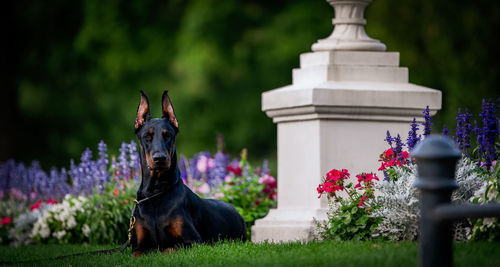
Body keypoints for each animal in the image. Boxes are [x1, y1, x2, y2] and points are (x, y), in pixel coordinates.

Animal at [130, 90, 245, 258]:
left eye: (168, 135)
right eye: (147, 136)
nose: (160, 158)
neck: (156, 192)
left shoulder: (193, 242)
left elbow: (167, 249)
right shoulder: (138, 246)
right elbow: (137, 253)